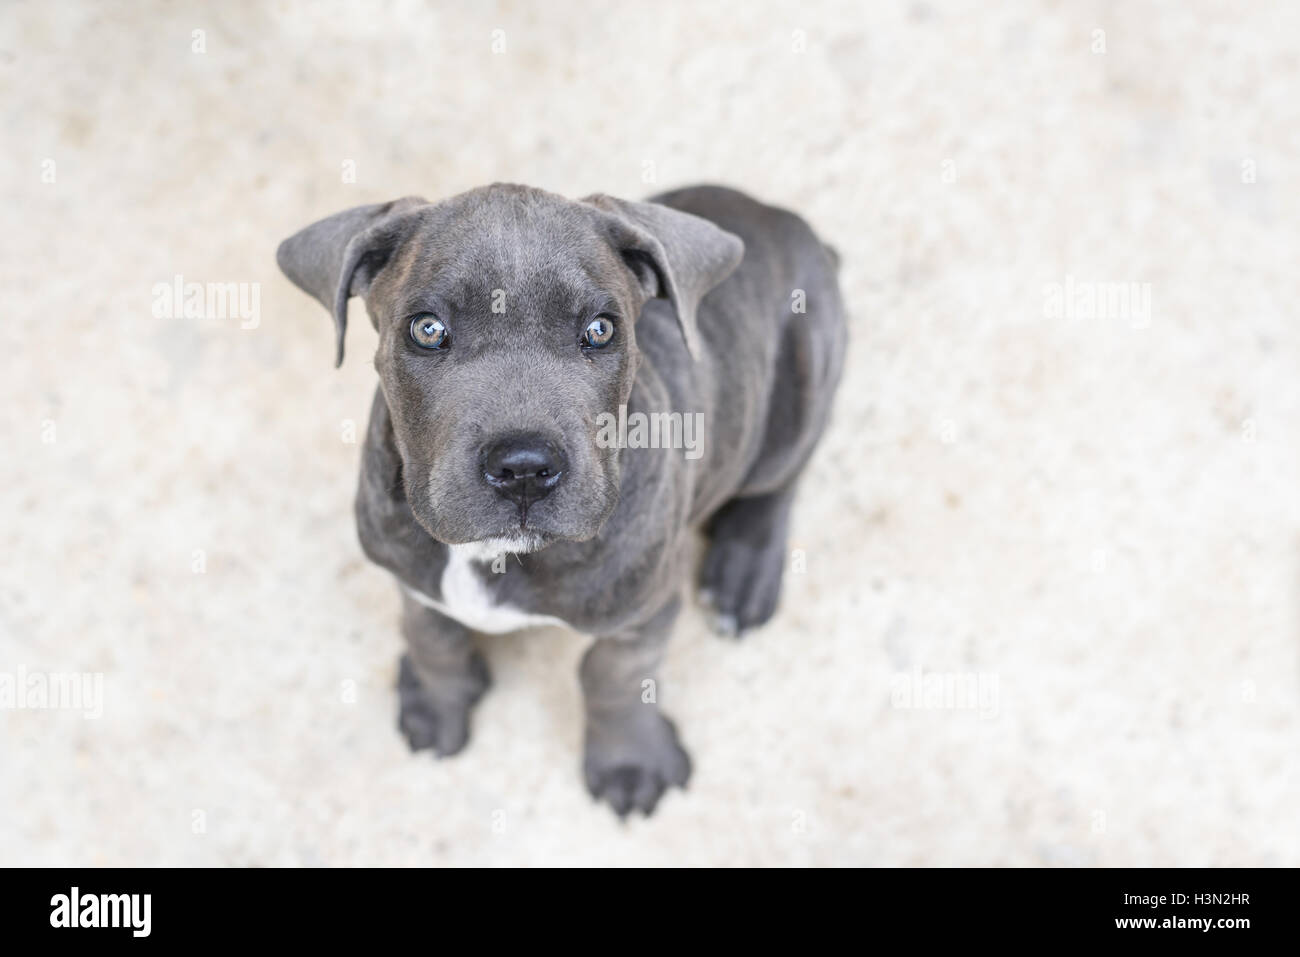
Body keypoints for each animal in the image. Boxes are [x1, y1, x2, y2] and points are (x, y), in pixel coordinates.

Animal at [276, 184, 842, 816]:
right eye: (427, 329)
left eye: (600, 330)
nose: (524, 469)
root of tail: (778, 216)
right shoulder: (405, 571)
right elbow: (431, 632)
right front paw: (437, 698)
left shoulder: (645, 608)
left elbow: (613, 677)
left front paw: (629, 761)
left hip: (804, 381)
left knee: (780, 478)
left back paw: (743, 576)